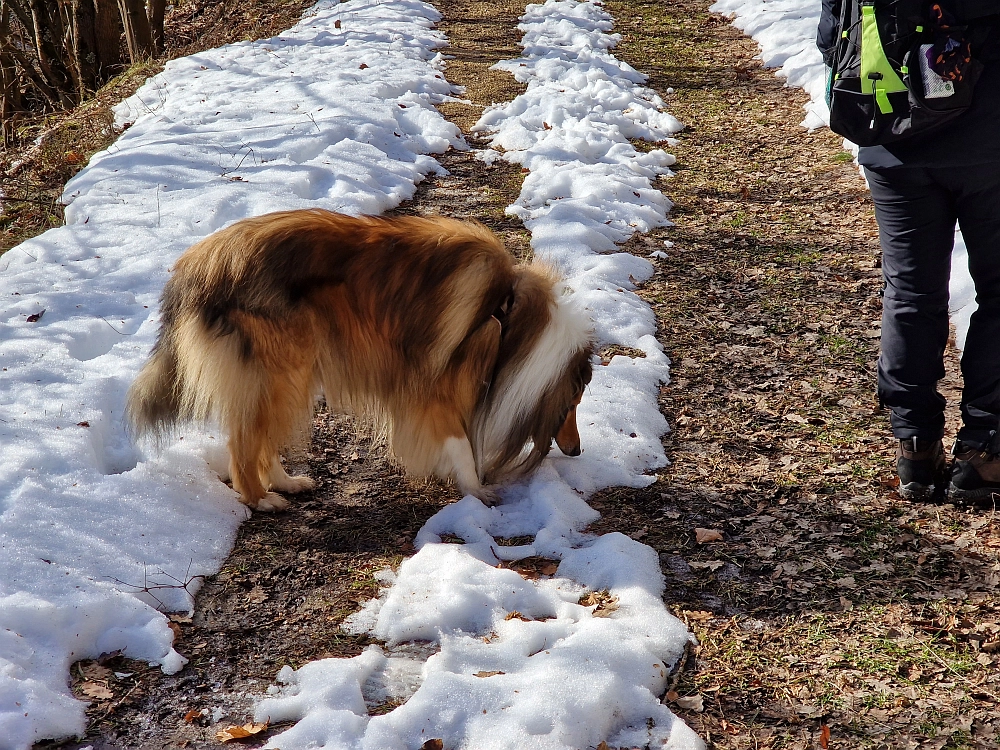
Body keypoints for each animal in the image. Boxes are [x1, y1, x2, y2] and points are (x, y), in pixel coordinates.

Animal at [125, 214, 592, 516]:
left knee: (262, 438)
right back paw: (262, 499)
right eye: (572, 401)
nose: (577, 450)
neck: (507, 314)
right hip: (281, 372)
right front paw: (477, 490)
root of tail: (195, 267)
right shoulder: (433, 391)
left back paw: (286, 482)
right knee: (243, 443)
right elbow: (460, 443)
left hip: (290, 375)